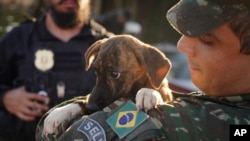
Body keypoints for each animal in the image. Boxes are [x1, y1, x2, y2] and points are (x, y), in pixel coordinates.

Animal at [43, 34, 172, 135]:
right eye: (96, 71)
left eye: (115, 74)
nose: (91, 108)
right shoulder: (90, 98)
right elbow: (82, 100)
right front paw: (58, 113)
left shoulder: (166, 96)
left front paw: (148, 93)